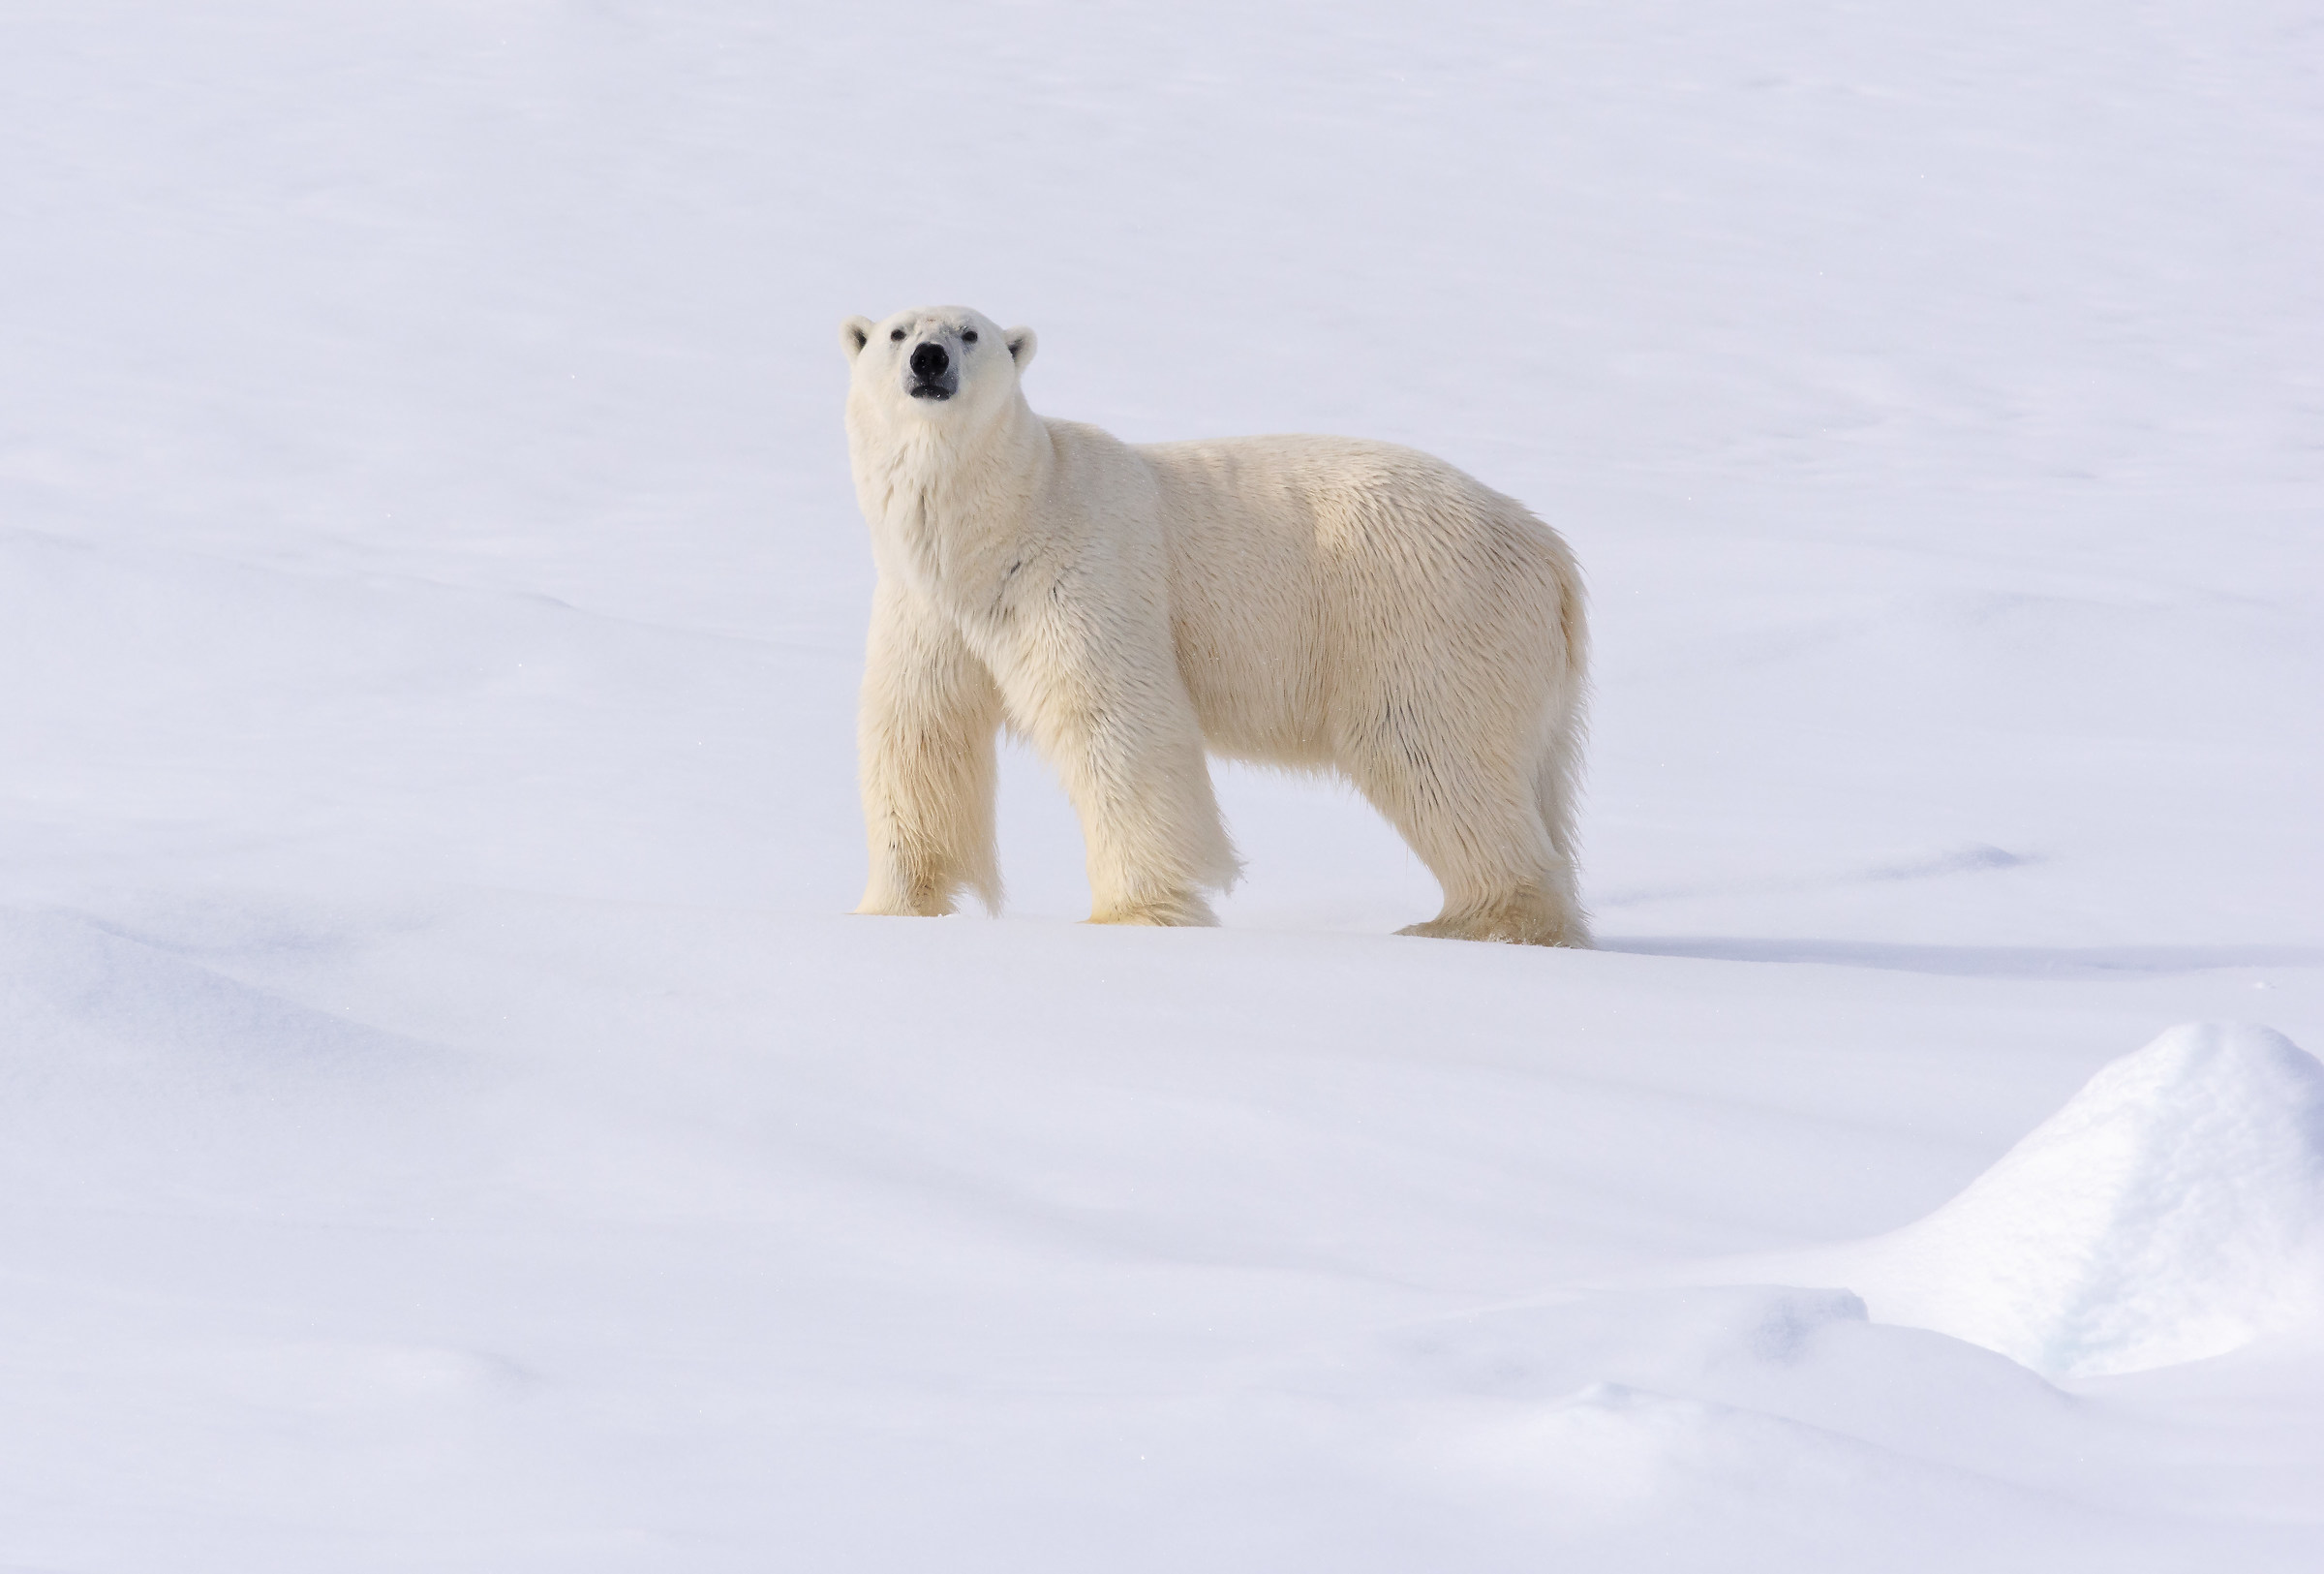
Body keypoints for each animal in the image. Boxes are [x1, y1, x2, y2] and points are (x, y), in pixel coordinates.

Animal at [839, 305, 1590, 947]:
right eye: (898, 332)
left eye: (970, 333)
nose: (930, 359)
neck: (996, 530)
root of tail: (1551, 553)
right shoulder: (926, 610)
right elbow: (918, 731)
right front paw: (889, 907)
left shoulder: (1083, 572)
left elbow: (1118, 723)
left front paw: (1133, 915)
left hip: (1428, 614)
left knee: (1433, 751)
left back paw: (1469, 921)